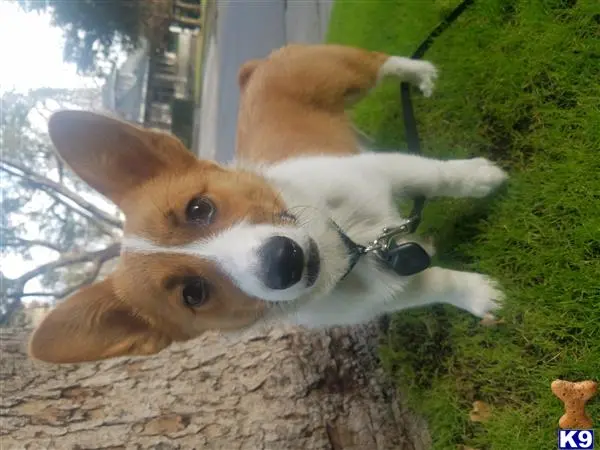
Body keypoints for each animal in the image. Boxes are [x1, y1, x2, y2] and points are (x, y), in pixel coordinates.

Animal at [28, 44, 506, 364]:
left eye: (199, 208)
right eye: (193, 293)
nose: (283, 261)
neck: (348, 243)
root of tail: (252, 72)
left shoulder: (384, 169)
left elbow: (440, 175)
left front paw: (485, 178)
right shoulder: (388, 290)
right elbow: (432, 284)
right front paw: (480, 296)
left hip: (342, 74)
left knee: (383, 62)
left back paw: (421, 74)